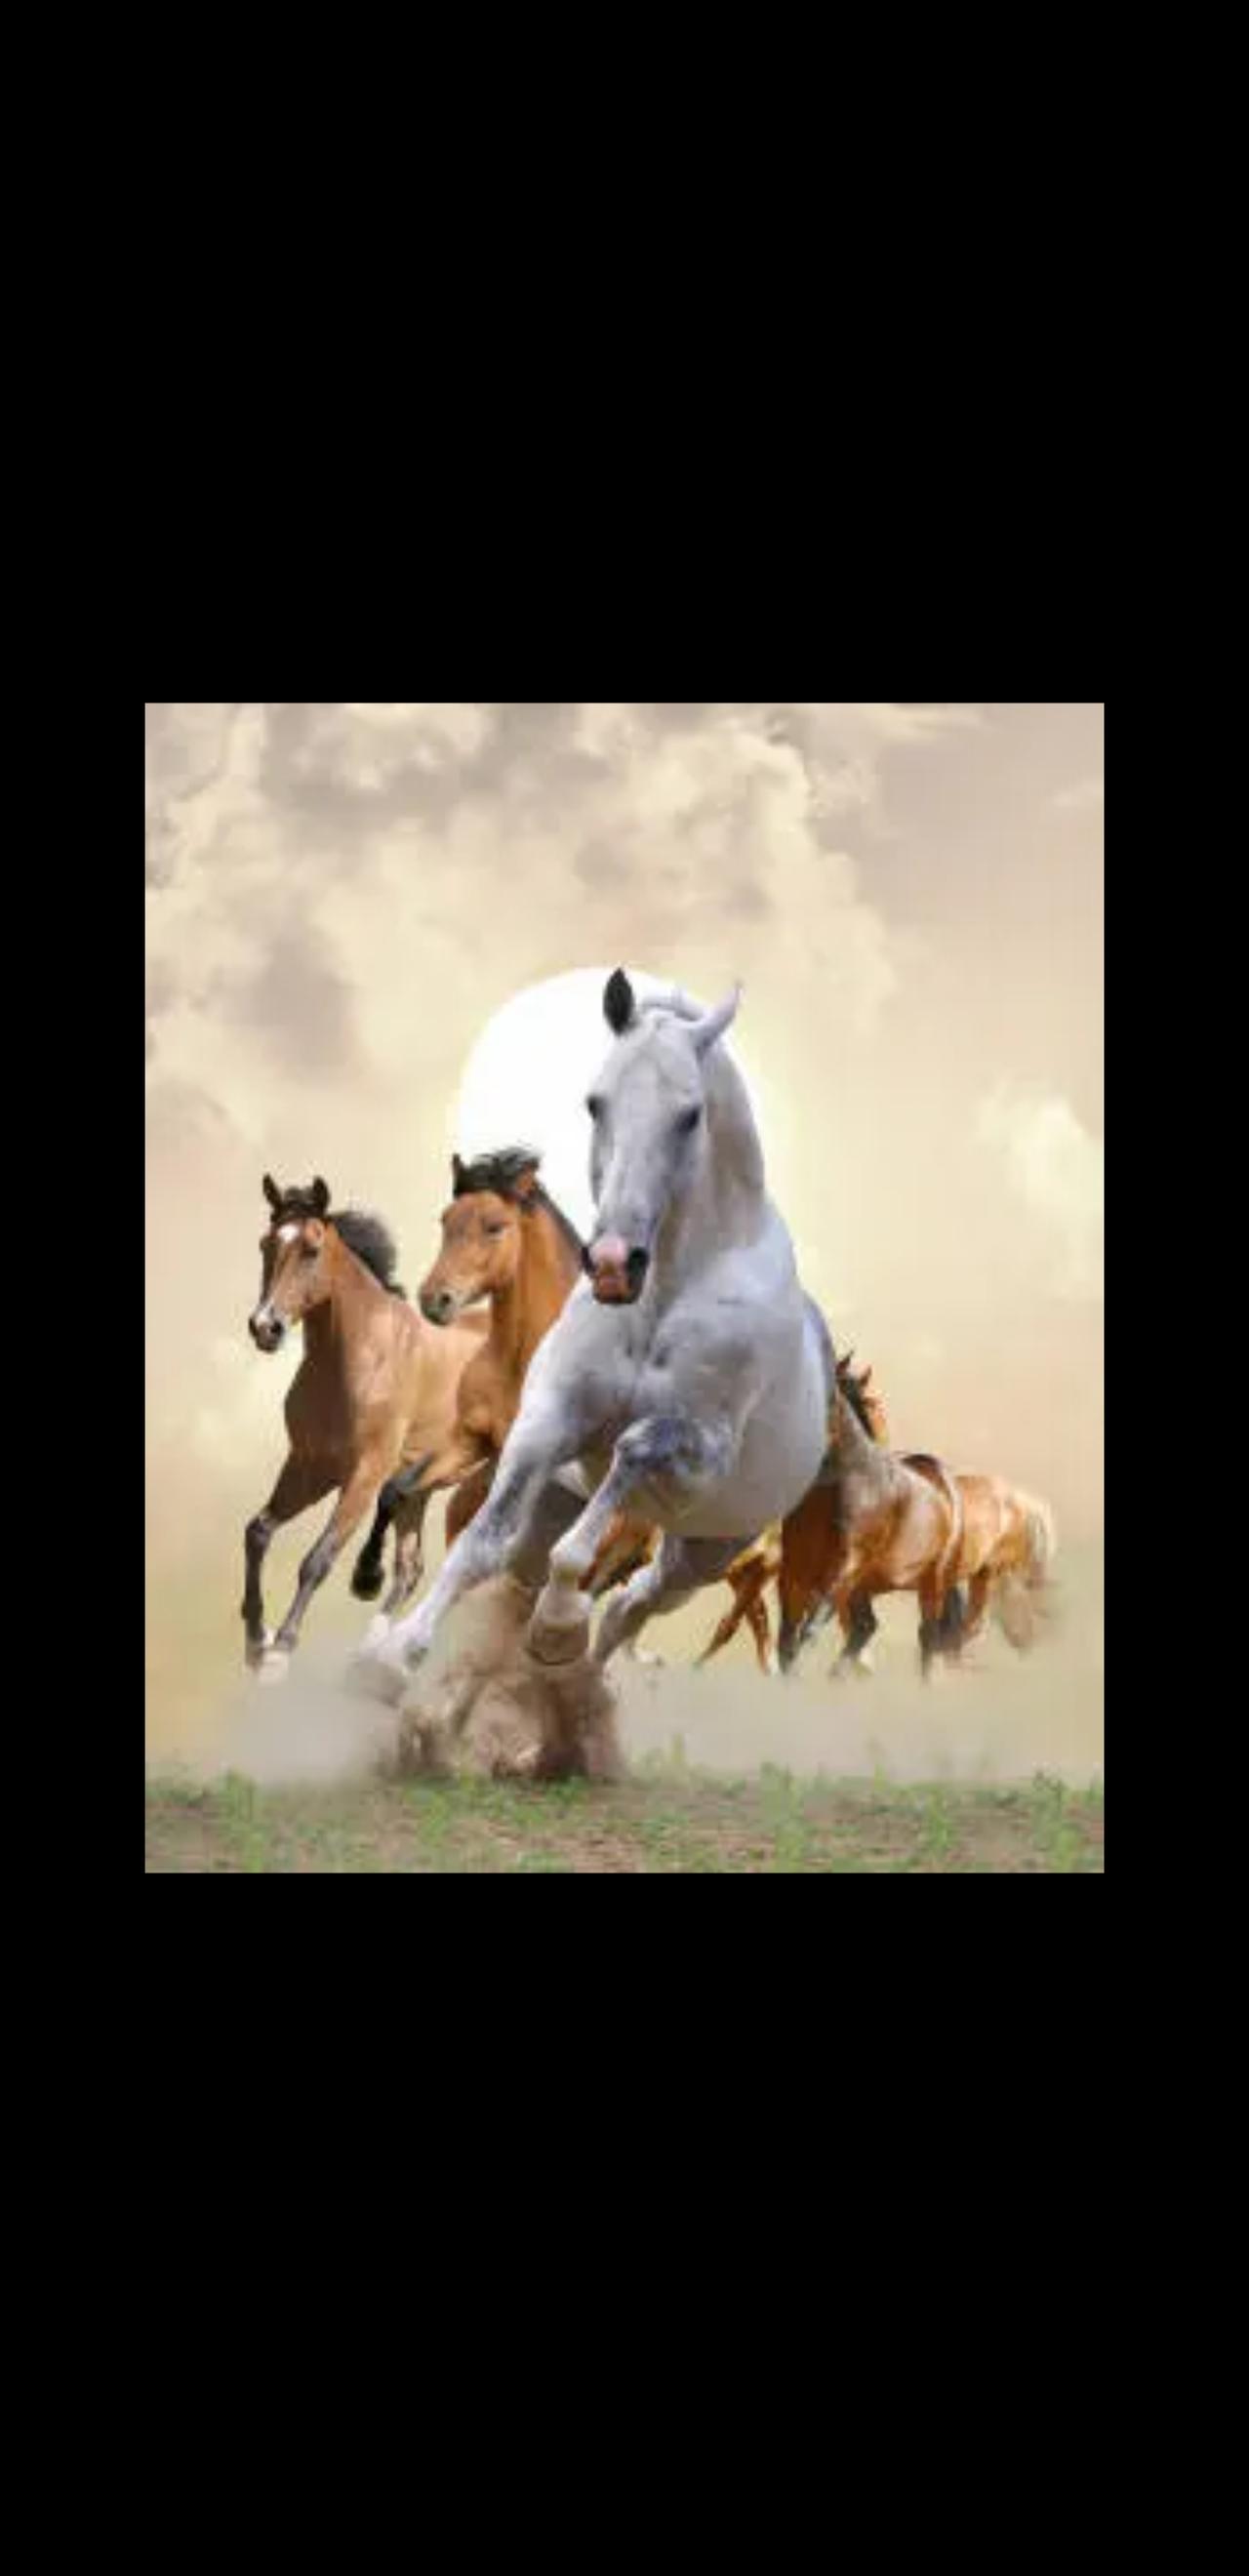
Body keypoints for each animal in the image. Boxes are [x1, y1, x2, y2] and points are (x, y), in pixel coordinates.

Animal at [242, 1175, 487, 1675]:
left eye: (312, 1249)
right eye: (265, 1244)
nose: (265, 1327)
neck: (359, 1357)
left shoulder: (364, 1473)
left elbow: (318, 1558)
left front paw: (281, 1648)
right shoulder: (309, 1466)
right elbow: (258, 1532)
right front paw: (257, 1637)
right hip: (428, 1482)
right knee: (411, 1565)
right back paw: (375, 1649)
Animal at [355, 971, 835, 1763]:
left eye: (690, 1114)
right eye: (595, 1101)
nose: (613, 1264)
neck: (662, 1295)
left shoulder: (699, 1451)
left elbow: (628, 1457)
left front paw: (557, 1622)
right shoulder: (546, 1425)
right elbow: (481, 1542)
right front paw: (394, 1657)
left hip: (705, 1552)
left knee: (630, 1608)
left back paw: (567, 1676)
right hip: (566, 1503)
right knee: (539, 1582)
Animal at [775, 1359, 965, 1680]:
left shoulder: (843, 1570)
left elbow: (808, 1632)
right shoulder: (793, 1572)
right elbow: (787, 1642)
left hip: (931, 1582)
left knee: (927, 1635)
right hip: (863, 1588)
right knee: (865, 1628)